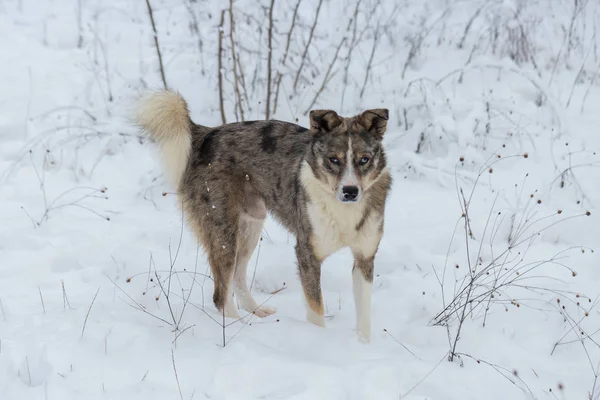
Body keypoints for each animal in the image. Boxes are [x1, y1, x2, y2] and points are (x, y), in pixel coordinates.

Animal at [135, 90, 394, 340]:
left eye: (364, 160)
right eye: (334, 160)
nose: (350, 191)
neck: (343, 210)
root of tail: (206, 134)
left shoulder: (364, 258)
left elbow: (364, 317)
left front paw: (362, 345)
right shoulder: (307, 254)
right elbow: (316, 310)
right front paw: (317, 340)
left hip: (250, 226)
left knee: (238, 276)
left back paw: (255, 311)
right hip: (223, 232)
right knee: (221, 294)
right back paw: (238, 328)